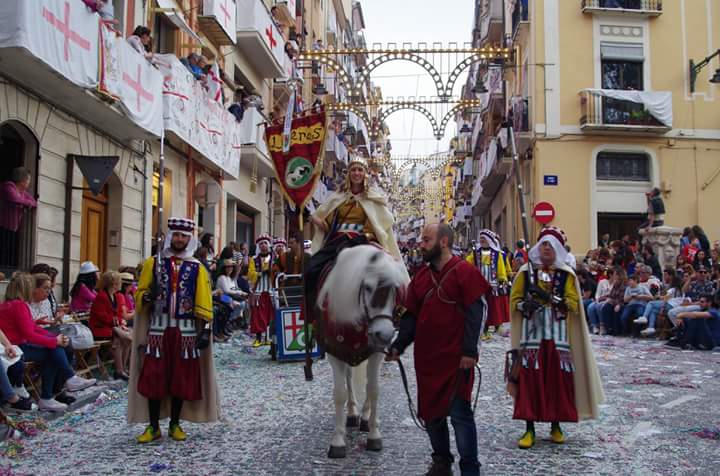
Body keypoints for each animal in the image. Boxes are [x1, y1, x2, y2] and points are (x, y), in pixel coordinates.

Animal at [315, 244, 409, 458]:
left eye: (394, 290)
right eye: (367, 287)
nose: (384, 334)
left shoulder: (376, 353)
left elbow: (373, 390)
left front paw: (374, 434)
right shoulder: (335, 351)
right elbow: (339, 393)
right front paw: (338, 440)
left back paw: (366, 417)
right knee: (349, 378)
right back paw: (352, 414)